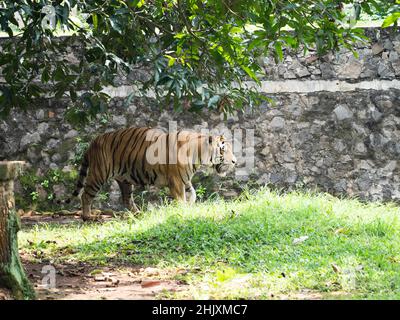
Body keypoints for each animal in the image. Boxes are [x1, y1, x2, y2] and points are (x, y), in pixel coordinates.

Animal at [71, 126, 236, 221]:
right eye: (223, 150)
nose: (235, 161)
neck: (198, 155)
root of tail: (93, 141)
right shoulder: (176, 181)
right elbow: (181, 198)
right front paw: (184, 211)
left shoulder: (185, 179)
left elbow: (193, 193)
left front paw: (190, 205)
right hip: (99, 174)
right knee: (85, 195)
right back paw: (88, 217)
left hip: (125, 180)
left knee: (126, 199)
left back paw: (139, 214)